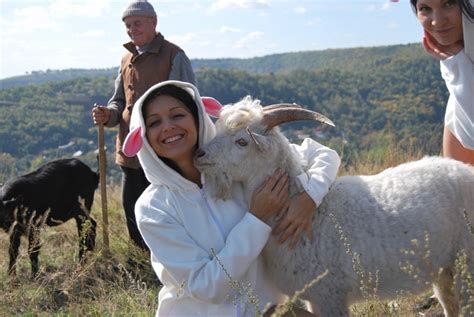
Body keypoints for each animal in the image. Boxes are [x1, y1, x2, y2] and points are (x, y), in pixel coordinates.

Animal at [194, 96, 474, 316]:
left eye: (242, 142)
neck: (310, 218)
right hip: (445, 271)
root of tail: (465, 171)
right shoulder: (314, 297)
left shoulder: (331, 294)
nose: (200, 155)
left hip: (466, 265)